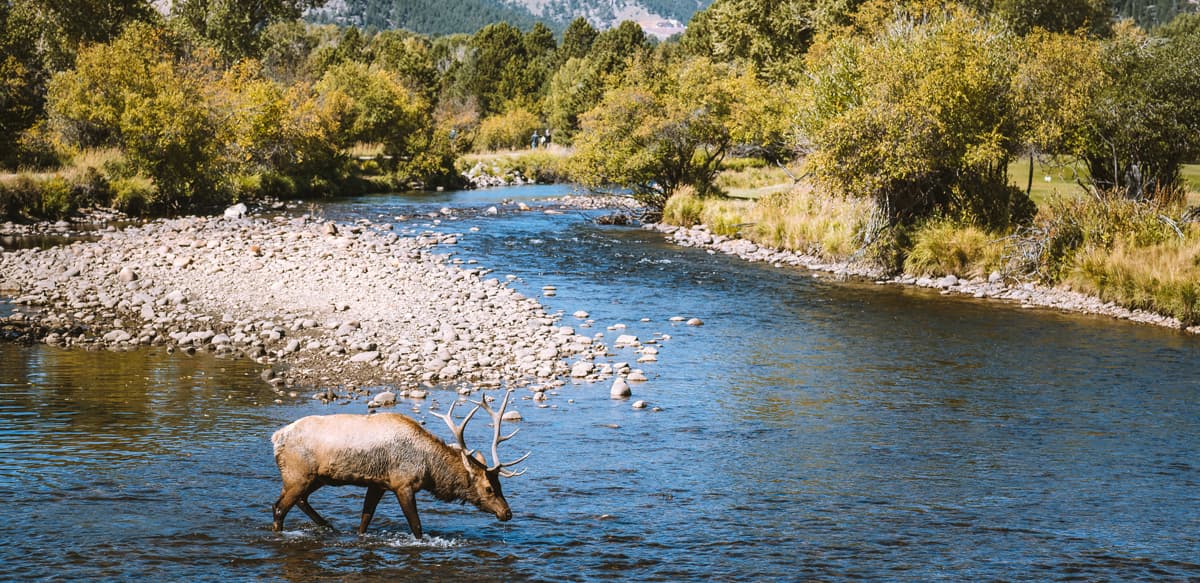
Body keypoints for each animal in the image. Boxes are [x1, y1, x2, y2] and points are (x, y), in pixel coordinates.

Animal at [270, 390, 529, 538]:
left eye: (501, 486)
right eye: (488, 488)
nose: (507, 513)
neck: (429, 470)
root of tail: (276, 437)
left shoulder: (378, 484)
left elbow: (365, 520)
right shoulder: (403, 484)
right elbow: (417, 527)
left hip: (315, 477)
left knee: (299, 501)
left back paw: (330, 527)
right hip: (298, 474)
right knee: (279, 508)